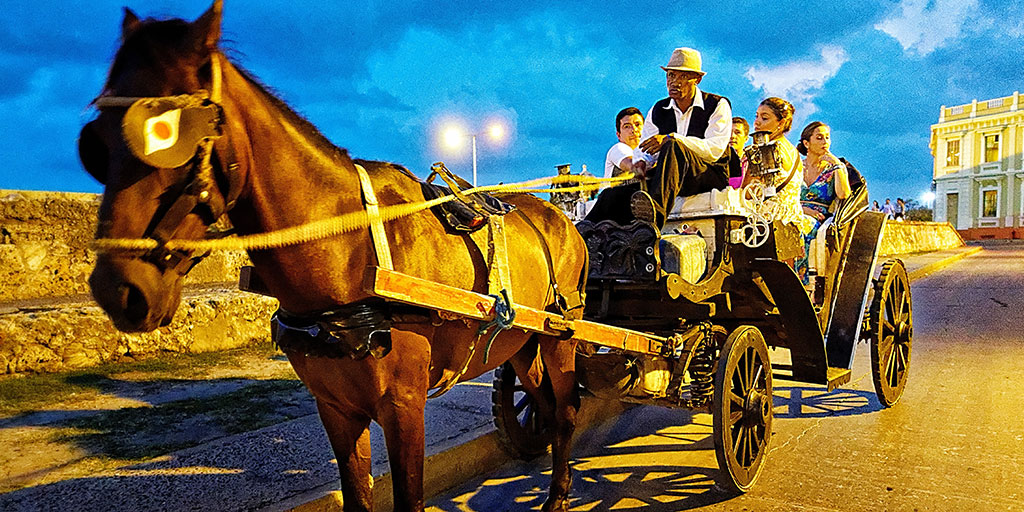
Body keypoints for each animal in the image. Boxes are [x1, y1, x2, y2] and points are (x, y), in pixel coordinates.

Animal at [77, 2, 593, 509]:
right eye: (95, 141)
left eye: (166, 134)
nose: (118, 289)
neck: (351, 260)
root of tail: (563, 217)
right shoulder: (336, 408)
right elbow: (356, 492)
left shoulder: (405, 405)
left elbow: (408, 495)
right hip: (523, 342)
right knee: (545, 403)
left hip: (560, 334)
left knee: (566, 410)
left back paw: (558, 495)